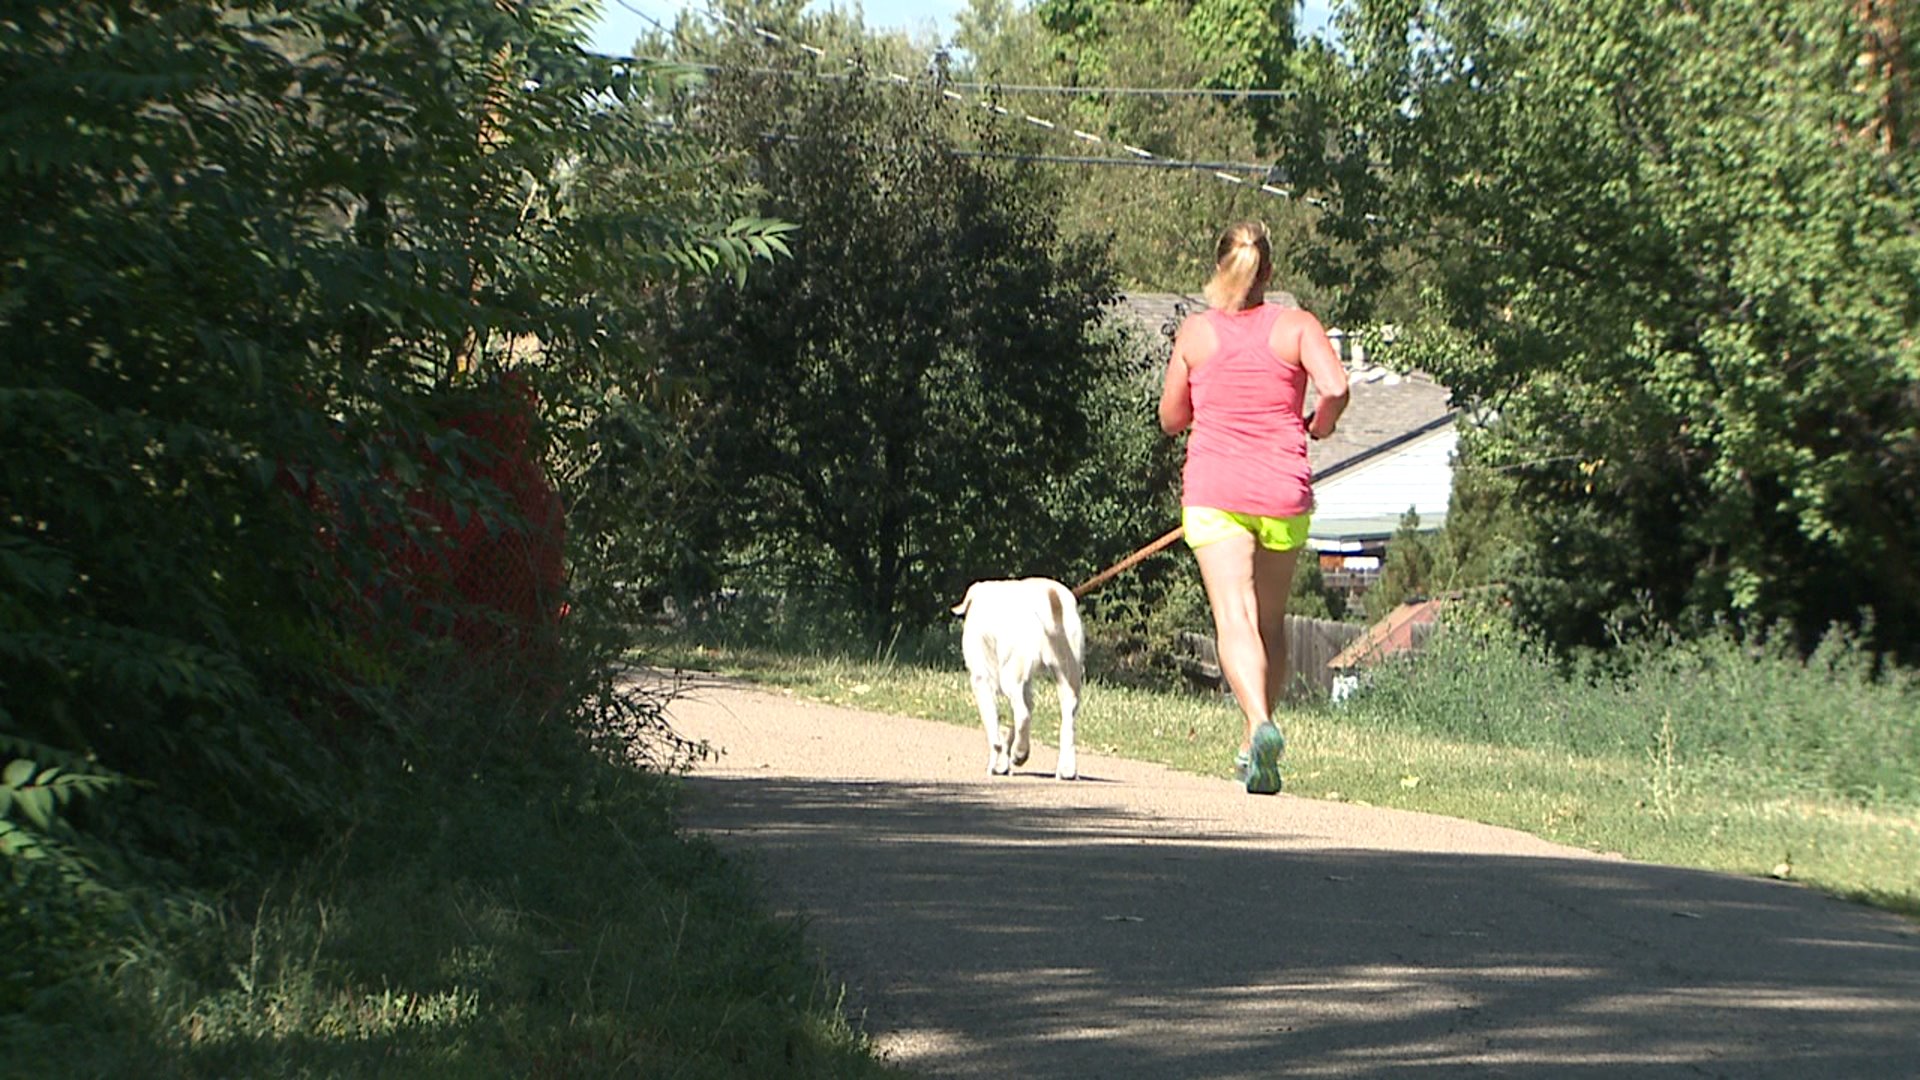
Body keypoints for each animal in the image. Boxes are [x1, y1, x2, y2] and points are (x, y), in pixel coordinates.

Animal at [952, 576, 1090, 776]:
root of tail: (1047, 598)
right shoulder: (1025, 686)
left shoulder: (981, 681)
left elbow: (994, 731)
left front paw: (996, 764)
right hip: (1068, 678)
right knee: (1068, 725)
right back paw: (1066, 771)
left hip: (1010, 678)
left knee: (1023, 714)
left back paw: (1020, 752)